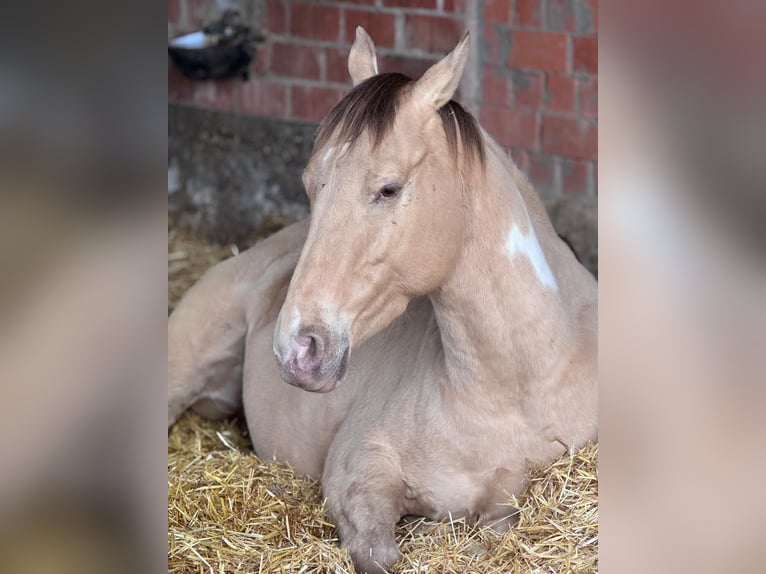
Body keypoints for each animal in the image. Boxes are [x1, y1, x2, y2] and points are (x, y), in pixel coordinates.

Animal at [168, 27, 597, 573]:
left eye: (388, 189)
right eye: (310, 185)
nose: (297, 349)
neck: (518, 385)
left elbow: (491, 531)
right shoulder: (357, 469)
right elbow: (382, 554)